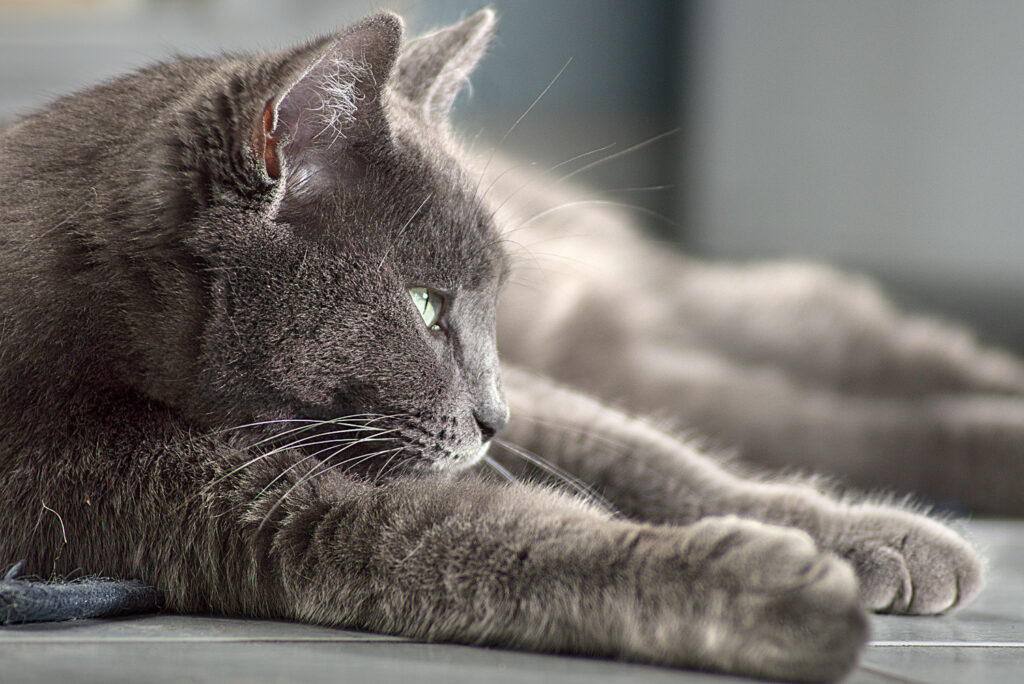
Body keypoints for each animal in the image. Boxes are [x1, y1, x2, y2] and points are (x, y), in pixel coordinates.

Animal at [0, 10, 987, 684]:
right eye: (424, 305)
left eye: (486, 307)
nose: (493, 414)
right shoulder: (161, 493)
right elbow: (488, 535)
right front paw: (768, 584)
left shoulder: (533, 404)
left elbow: (646, 456)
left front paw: (878, 536)